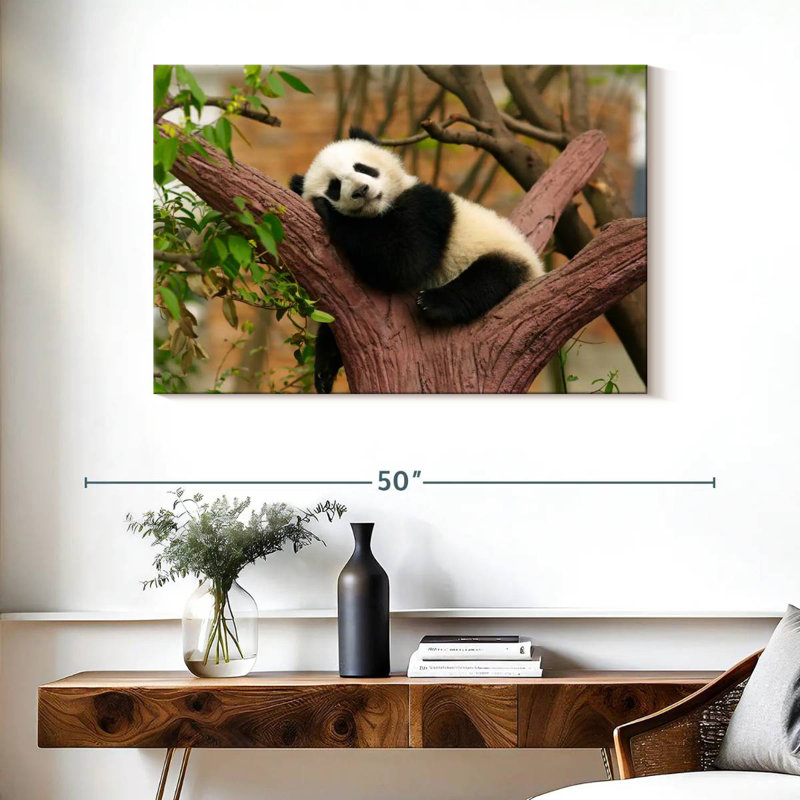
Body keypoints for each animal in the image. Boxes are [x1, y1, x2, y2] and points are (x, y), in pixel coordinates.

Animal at [289, 126, 545, 393]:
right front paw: (325, 366)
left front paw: (328, 211)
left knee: (489, 277)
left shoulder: (426, 207)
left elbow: (404, 260)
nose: (361, 190)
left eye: (363, 168)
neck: (378, 211)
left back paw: (434, 302)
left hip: (502, 251)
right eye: (335, 186)